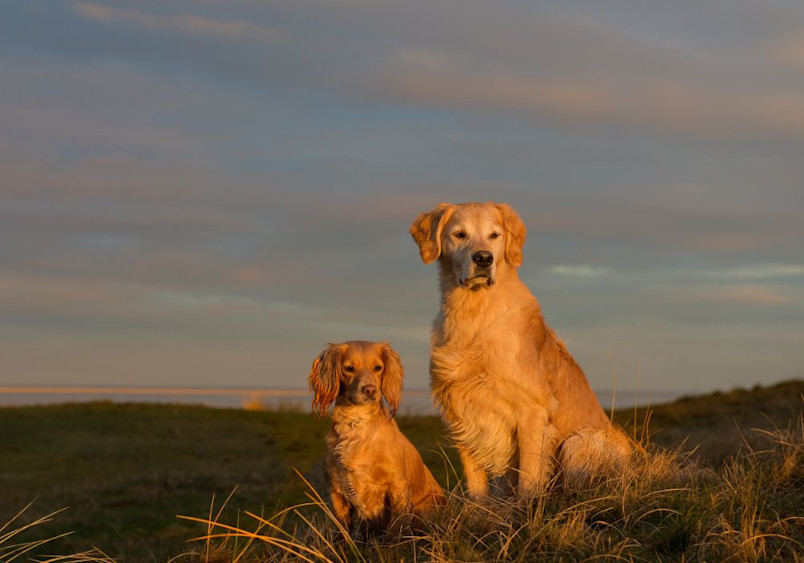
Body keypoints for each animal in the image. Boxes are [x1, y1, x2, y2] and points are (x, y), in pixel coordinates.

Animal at [310, 342, 446, 536]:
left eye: (378, 367)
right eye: (349, 368)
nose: (370, 390)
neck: (357, 423)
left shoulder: (397, 486)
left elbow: (396, 530)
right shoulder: (336, 492)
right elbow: (343, 532)